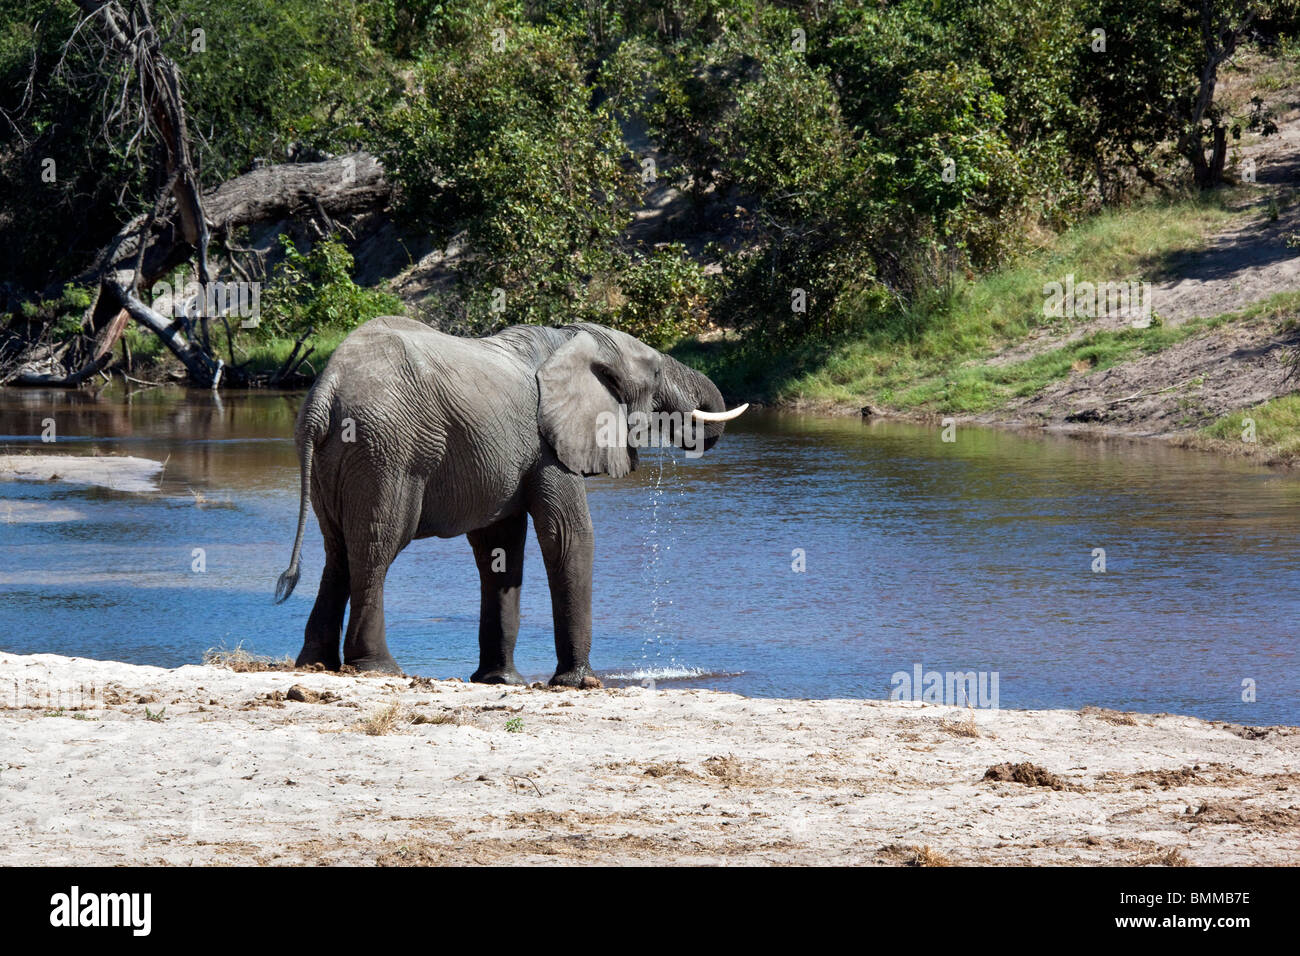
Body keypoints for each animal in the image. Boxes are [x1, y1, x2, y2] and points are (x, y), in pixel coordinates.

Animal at [274, 316, 746, 687]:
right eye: (657, 372)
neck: (573, 337)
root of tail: (326, 386)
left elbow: (499, 550)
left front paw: (498, 680)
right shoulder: (548, 443)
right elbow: (568, 535)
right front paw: (578, 683)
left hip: (332, 456)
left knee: (338, 551)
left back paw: (315, 664)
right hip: (387, 451)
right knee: (376, 548)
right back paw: (379, 669)